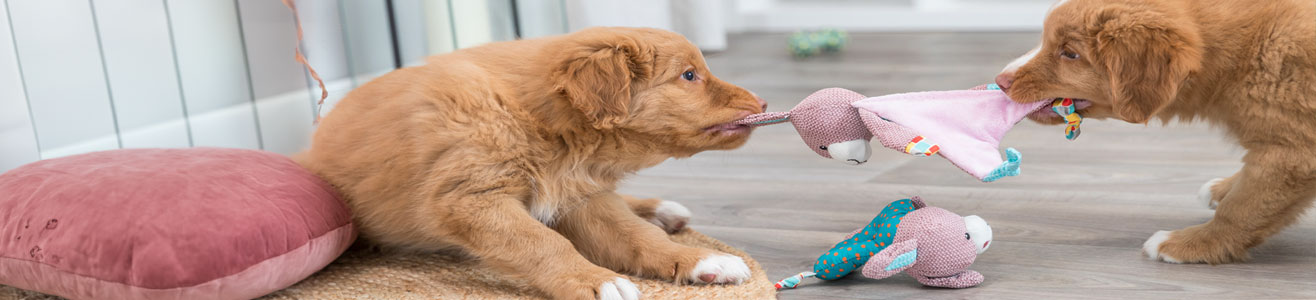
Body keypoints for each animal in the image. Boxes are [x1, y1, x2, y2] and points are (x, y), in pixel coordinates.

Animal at [298, 26, 768, 298]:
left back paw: (660, 210)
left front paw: (699, 261)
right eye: (689, 76)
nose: (764, 103)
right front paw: (596, 280)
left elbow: (635, 236)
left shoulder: (580, 197)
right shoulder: (471, 198)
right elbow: (542, 241)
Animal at [994, 0, 1316, 263]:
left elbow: (1242, 207)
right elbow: (1248, 185)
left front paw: (1189, 244)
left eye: (1070, 54)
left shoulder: (1292, 153)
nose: (1001, 81)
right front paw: (1225, 187)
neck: (1241, 52)